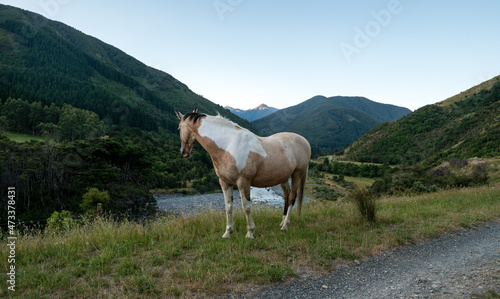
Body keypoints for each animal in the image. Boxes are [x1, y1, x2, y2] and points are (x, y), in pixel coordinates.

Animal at [174, 107, 310, 239]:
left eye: (179, 128)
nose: (183, 152)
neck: (228, 146)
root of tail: (305, 141)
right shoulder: (225, 182)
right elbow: (228, 207)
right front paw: (227, 233)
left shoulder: (243, 182)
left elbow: (246, 207)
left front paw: (250, 233)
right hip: (283, 178)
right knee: (286, 197)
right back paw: (282, 222)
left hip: (297, 175)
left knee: (292, 198)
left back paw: (285, 226)